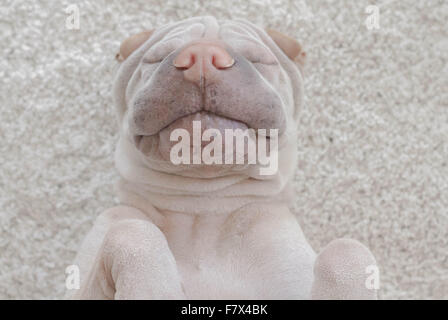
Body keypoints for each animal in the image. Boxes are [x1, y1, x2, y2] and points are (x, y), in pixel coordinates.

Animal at [67, 15, 378, 300]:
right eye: (156, 58)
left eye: (256, 59)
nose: (202, 56)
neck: (203, 209)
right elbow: (131, 231)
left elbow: (347, 249)